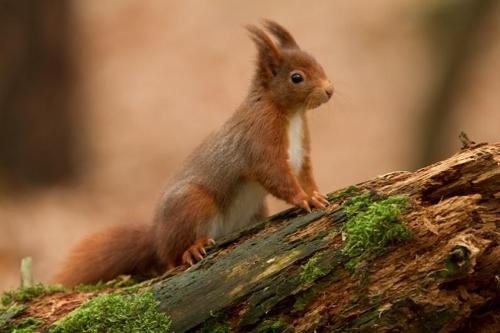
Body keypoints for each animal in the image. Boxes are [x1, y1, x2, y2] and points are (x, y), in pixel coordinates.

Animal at [52, 20, 334, 286]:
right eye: (296, 77)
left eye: (318, 63)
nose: (330, 90)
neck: (291, 114)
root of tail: (156, 236)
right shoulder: (260, 142)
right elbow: (277, 176)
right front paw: (304, 199)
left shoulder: (301, 154)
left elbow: (305, 175)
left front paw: (316, 194)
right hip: (192, 202)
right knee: (172, 257)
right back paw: (191, 249)